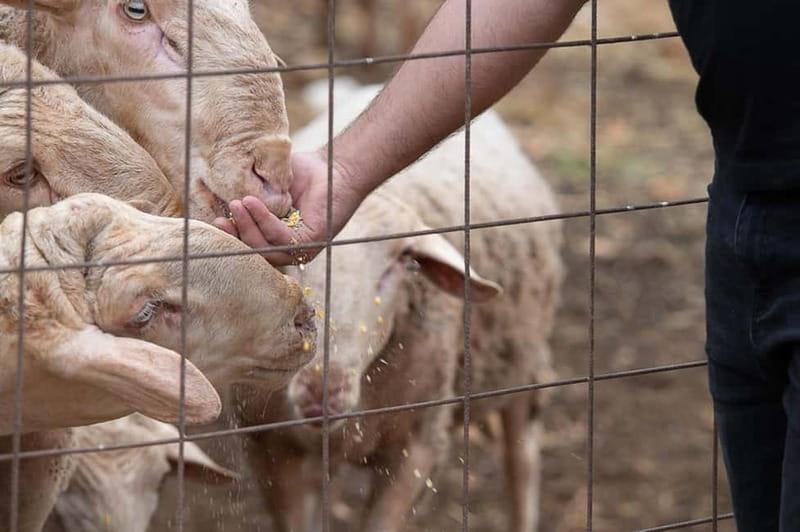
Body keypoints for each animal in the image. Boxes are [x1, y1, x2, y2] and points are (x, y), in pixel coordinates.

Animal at [231, 80, 563, 532]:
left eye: (405, 262)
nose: (322, 389)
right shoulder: (272, 449)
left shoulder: (417, 448)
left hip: (524, 369)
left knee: (522, 462)